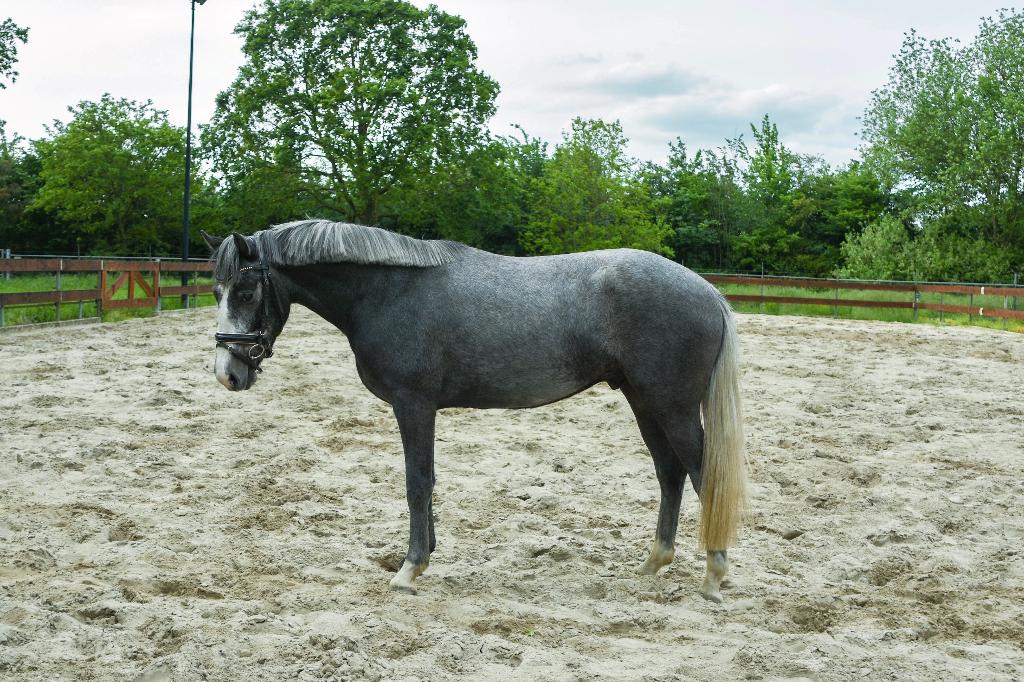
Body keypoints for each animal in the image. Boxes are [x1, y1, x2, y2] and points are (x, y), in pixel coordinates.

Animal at [203, 220, 748, 601]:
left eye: (247, 291)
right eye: (216, 292)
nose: (228, 374)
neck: (389, 291)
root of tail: (706, 290)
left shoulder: (414, 403)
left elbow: (417, 482)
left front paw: (410, 569)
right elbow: (427, 481)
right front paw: (425, 555)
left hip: (672, 407)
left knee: (703, 475)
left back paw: (713, 575)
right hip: (643, 401)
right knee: (669, 473)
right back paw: (654, 563)